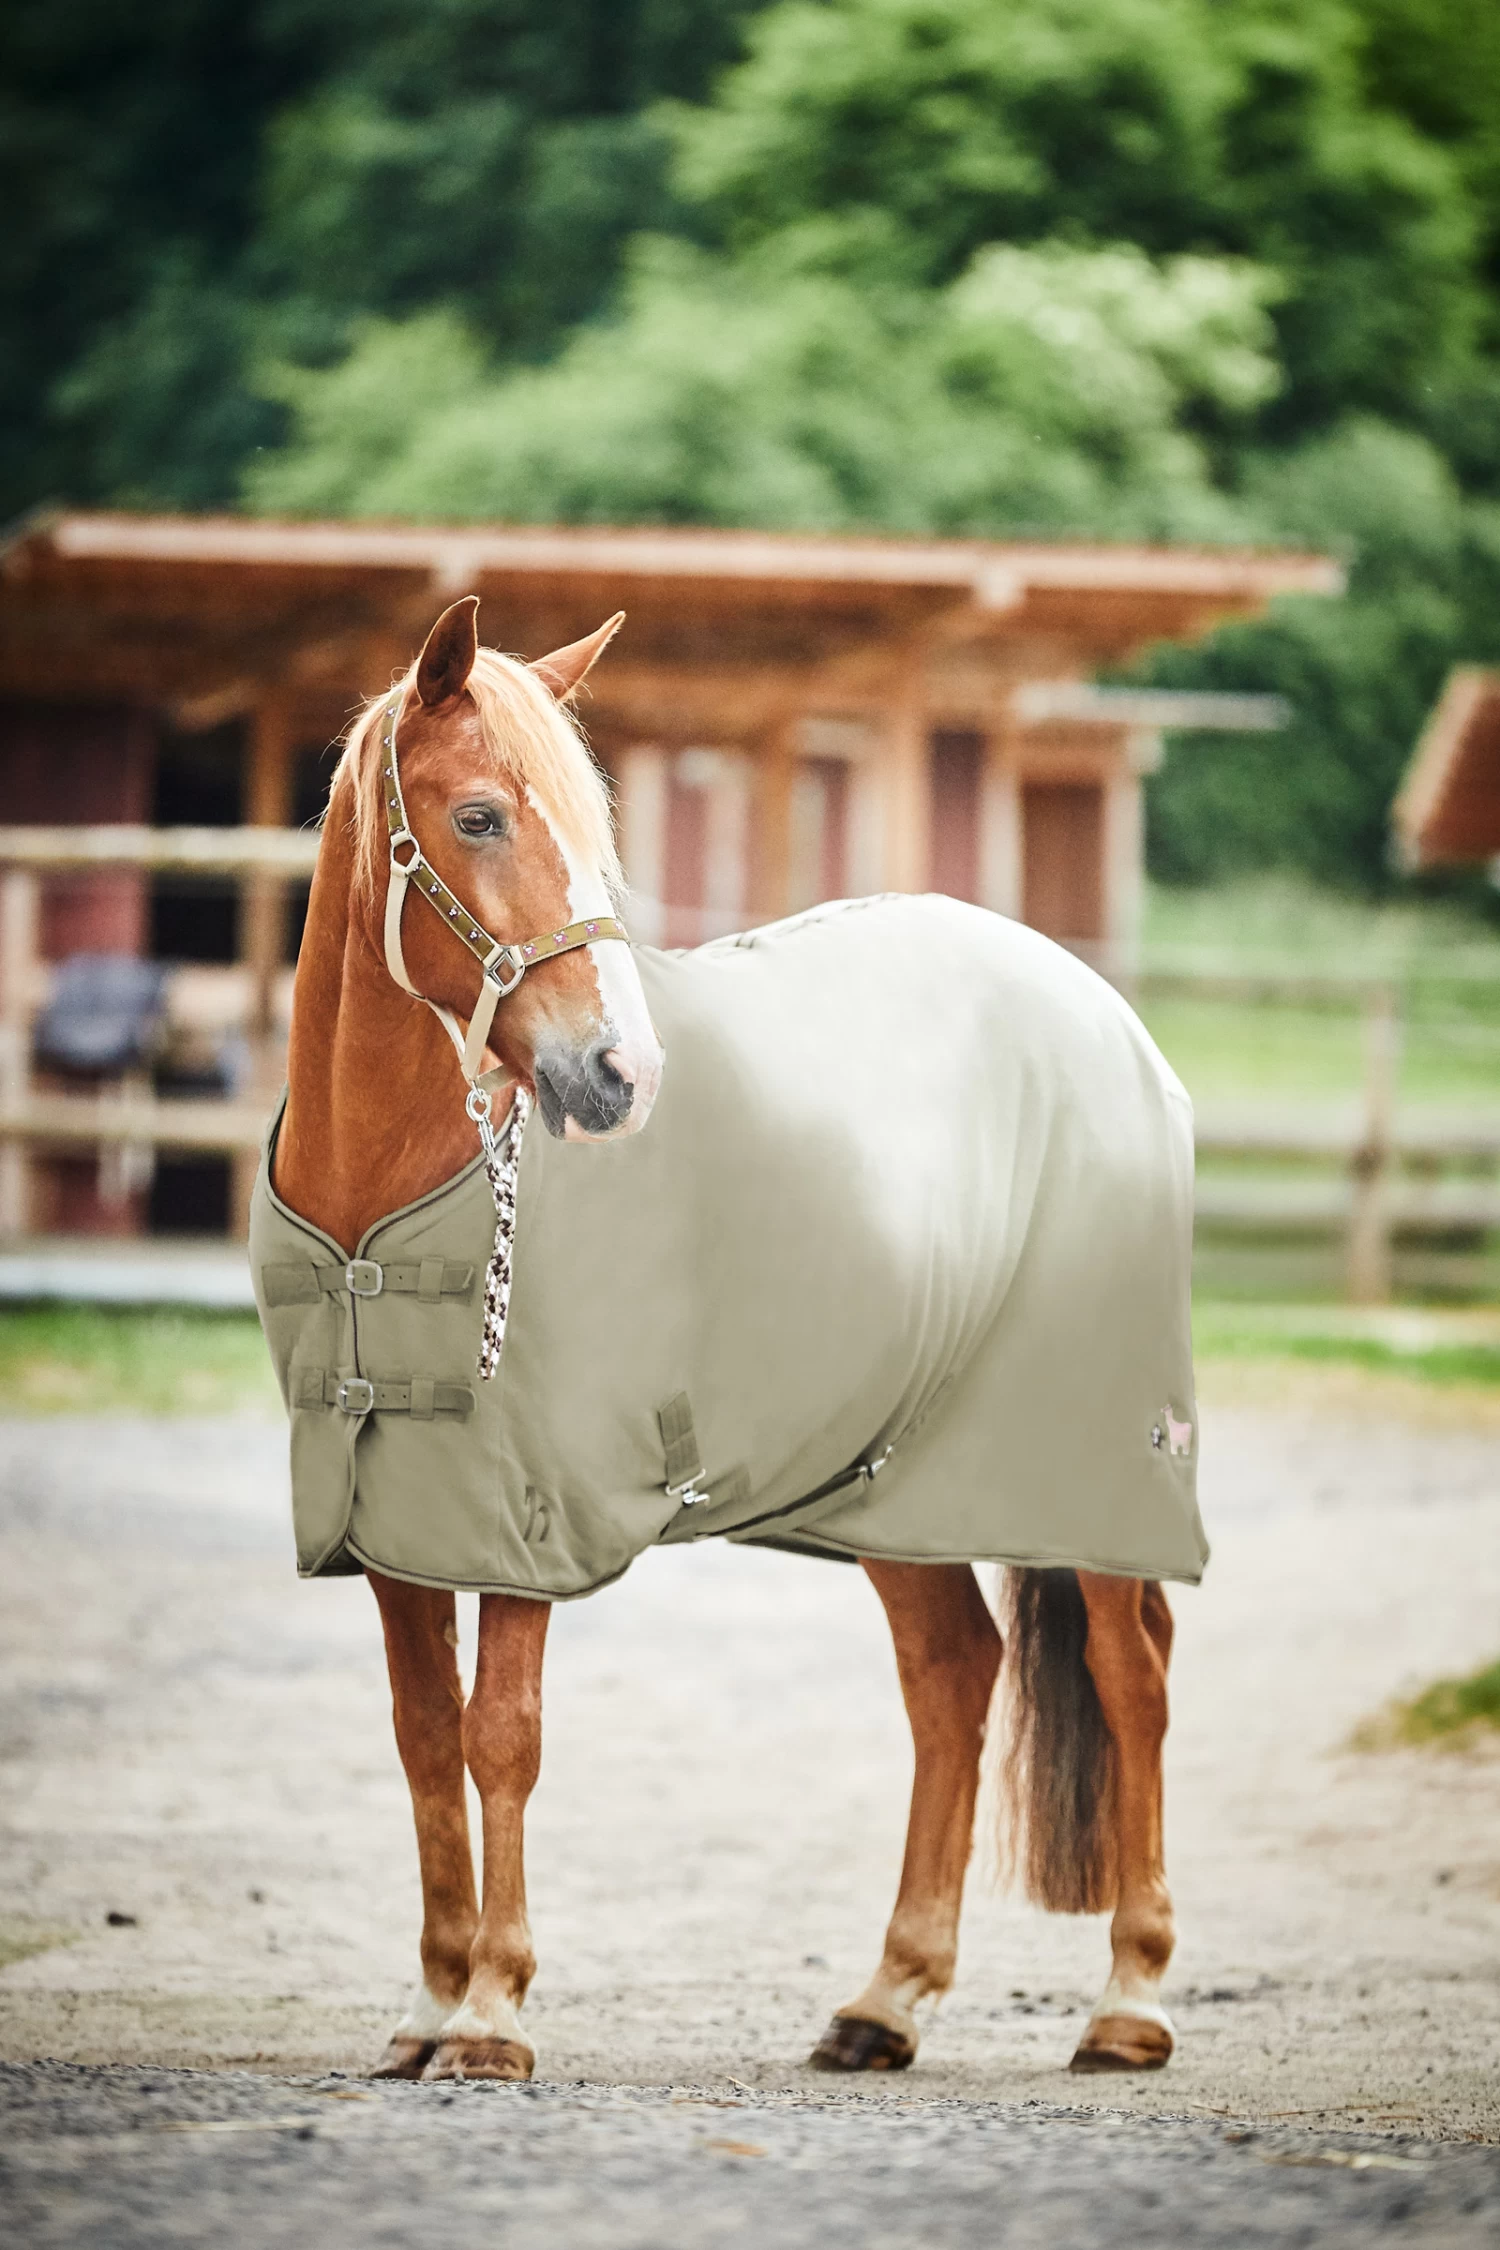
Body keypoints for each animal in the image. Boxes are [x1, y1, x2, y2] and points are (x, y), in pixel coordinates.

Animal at [266, 595, 1185, 2085]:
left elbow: (499, 1735)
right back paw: (887, 1997)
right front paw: (427, 2001)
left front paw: (492, 2013)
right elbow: (420, 1736)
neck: (388, 1203)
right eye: (477, 817)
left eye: (595, 827)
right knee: (953, 1674)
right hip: (895, 1478)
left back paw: (1131, 2000)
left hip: (1098, 1466)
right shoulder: (394, 1508)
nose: (617, 1075)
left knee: (1132, 1673)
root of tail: (1095, 1009)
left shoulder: (528, 1505)